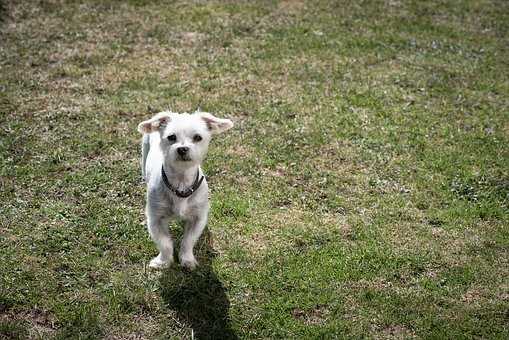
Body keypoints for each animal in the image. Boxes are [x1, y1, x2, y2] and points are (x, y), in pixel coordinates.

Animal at [136, 110, 233, 270]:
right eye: (171, 137)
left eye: (198, 137)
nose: (182, 148)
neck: (181, 182)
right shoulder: (155, 218)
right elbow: (165, 243)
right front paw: (163, 261)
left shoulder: (198, 218)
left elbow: (188, 241)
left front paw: (187, 260)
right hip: (144, 153)